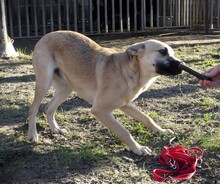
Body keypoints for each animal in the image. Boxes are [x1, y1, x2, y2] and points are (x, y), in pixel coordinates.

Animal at [27, 30, 182, 156]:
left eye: (172, 53)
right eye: (162, 51)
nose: (182, 64)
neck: (128, 72)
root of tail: (46, 35)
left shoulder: (125, 104)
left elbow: (146, 118)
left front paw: (161, 131)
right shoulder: (100, 110)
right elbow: (124, 131)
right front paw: (138, 148)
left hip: (66, 88)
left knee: (49, 107)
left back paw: (55, 129)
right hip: (44, 82)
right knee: (33, 109)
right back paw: (33, 135)